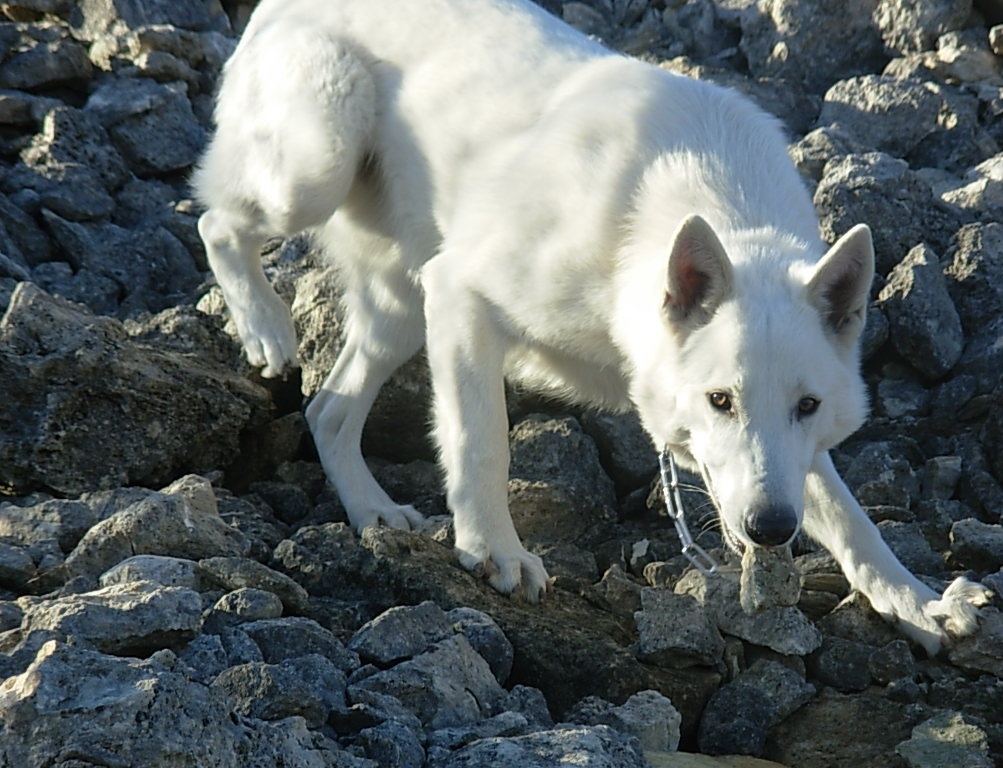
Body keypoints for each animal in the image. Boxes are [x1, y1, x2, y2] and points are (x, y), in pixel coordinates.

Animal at [193, 0, 986, 657]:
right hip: (315, 174)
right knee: (216, 222)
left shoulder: (791, 465)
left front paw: (915, 602)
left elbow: (852, 519)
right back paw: (264, 325)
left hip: (397, 306)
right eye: (719, 401)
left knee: (328, 411)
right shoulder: (461, 292)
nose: (769, 531)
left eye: (808, 406)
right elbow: (481, 440)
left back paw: (373, 513)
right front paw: (495, 550)